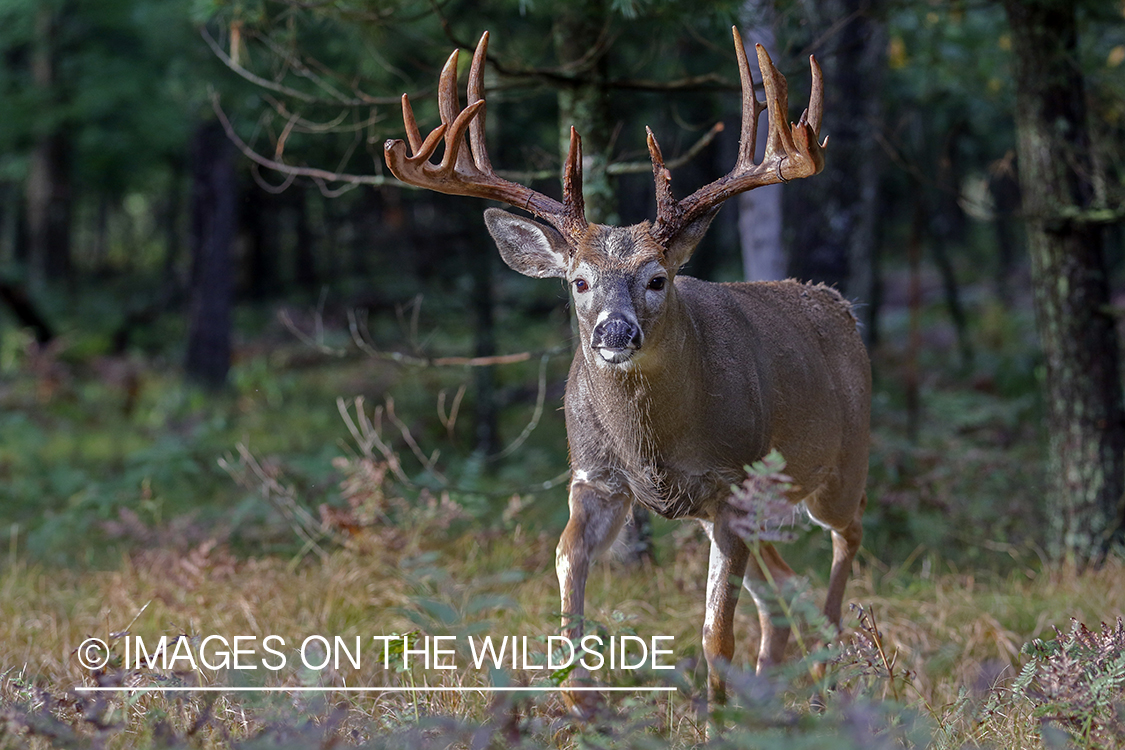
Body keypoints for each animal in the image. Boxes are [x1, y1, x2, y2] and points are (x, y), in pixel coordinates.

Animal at [384, 27, 868, 715]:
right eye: (578, 281)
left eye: (657, 278)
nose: (615, 333)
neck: (654, 446)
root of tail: (839, 305)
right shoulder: (595, 476)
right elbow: (566, 563)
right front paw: (582, 702)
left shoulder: (732, 483)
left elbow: (714, 633)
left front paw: (713, 720)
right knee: (783, 590)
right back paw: (772, 696)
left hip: (841, 463)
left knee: (843, 542)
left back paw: (825, 679)